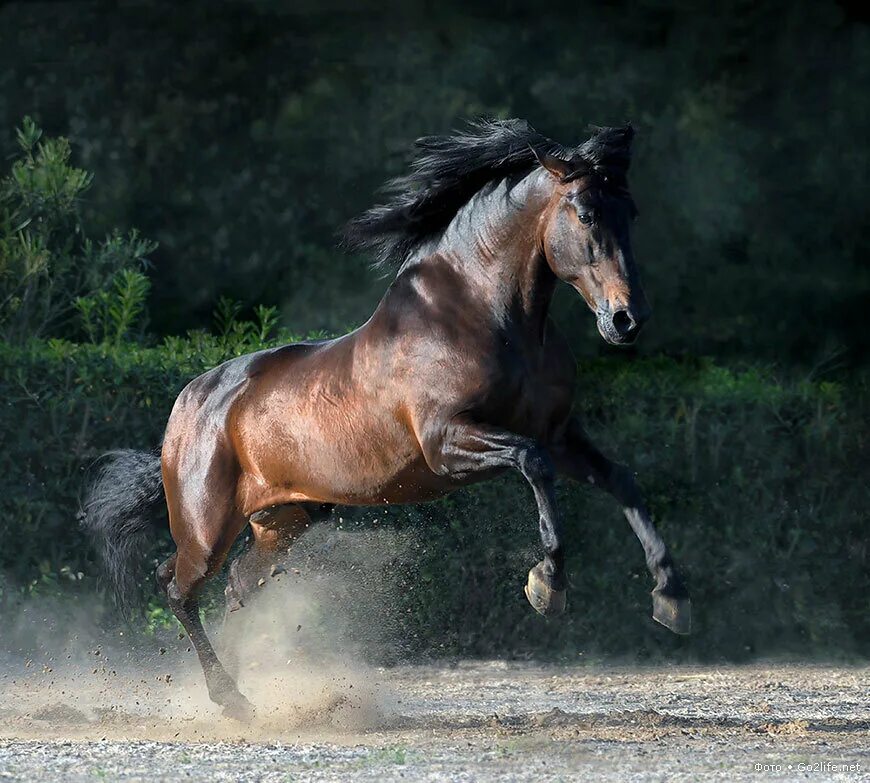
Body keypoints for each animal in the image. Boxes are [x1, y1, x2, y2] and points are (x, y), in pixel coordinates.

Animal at [83, 119, 696, 720]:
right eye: (586, 214)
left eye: (631, 213)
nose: (628, 319)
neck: (484, 317)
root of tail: (188, 405)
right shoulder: (448, 445)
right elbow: (533, 463)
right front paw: (547, 585)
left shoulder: (561, 434)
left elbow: (620, 479)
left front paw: (671, 597)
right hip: (207, 527)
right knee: (177, 588)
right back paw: (229, 700)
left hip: (283, 520)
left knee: (235, 586)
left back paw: (248, 687)